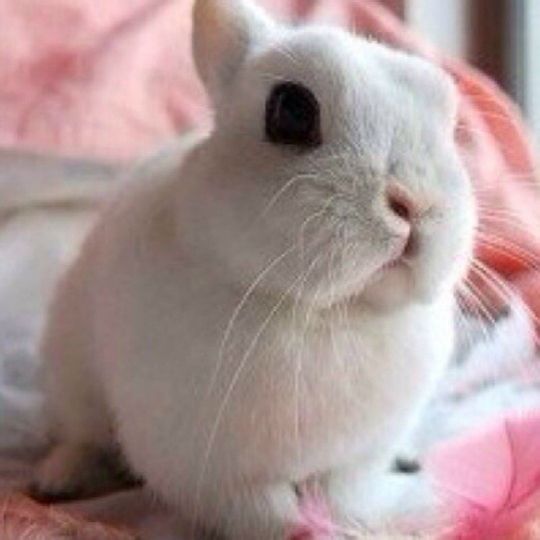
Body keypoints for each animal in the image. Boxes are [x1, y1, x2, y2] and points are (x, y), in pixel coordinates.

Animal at [31, 0, 476, 538]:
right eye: (292, 111)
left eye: (448, 121)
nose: (416, 203)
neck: (328, 310)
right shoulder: (214, 473)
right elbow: (266, 513)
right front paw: (301, 529)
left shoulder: (356, 459)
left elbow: (342, 496)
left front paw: (345, 525)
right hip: (71, 378)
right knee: (81, 435)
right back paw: (57, 480)